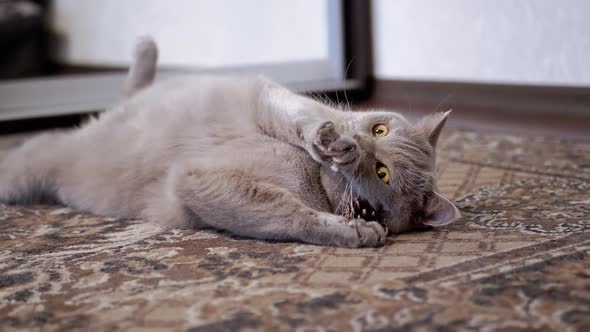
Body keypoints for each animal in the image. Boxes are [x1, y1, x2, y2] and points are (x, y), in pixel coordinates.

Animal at [0, 38, 462, 246]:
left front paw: (358, 229)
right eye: (380, 130)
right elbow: (301, 122)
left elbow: (285, 214)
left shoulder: (198, 181)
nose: (361, 146)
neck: (314, 178)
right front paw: (331, 140)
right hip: (34, 168)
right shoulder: (266, 101)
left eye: (383, 173)